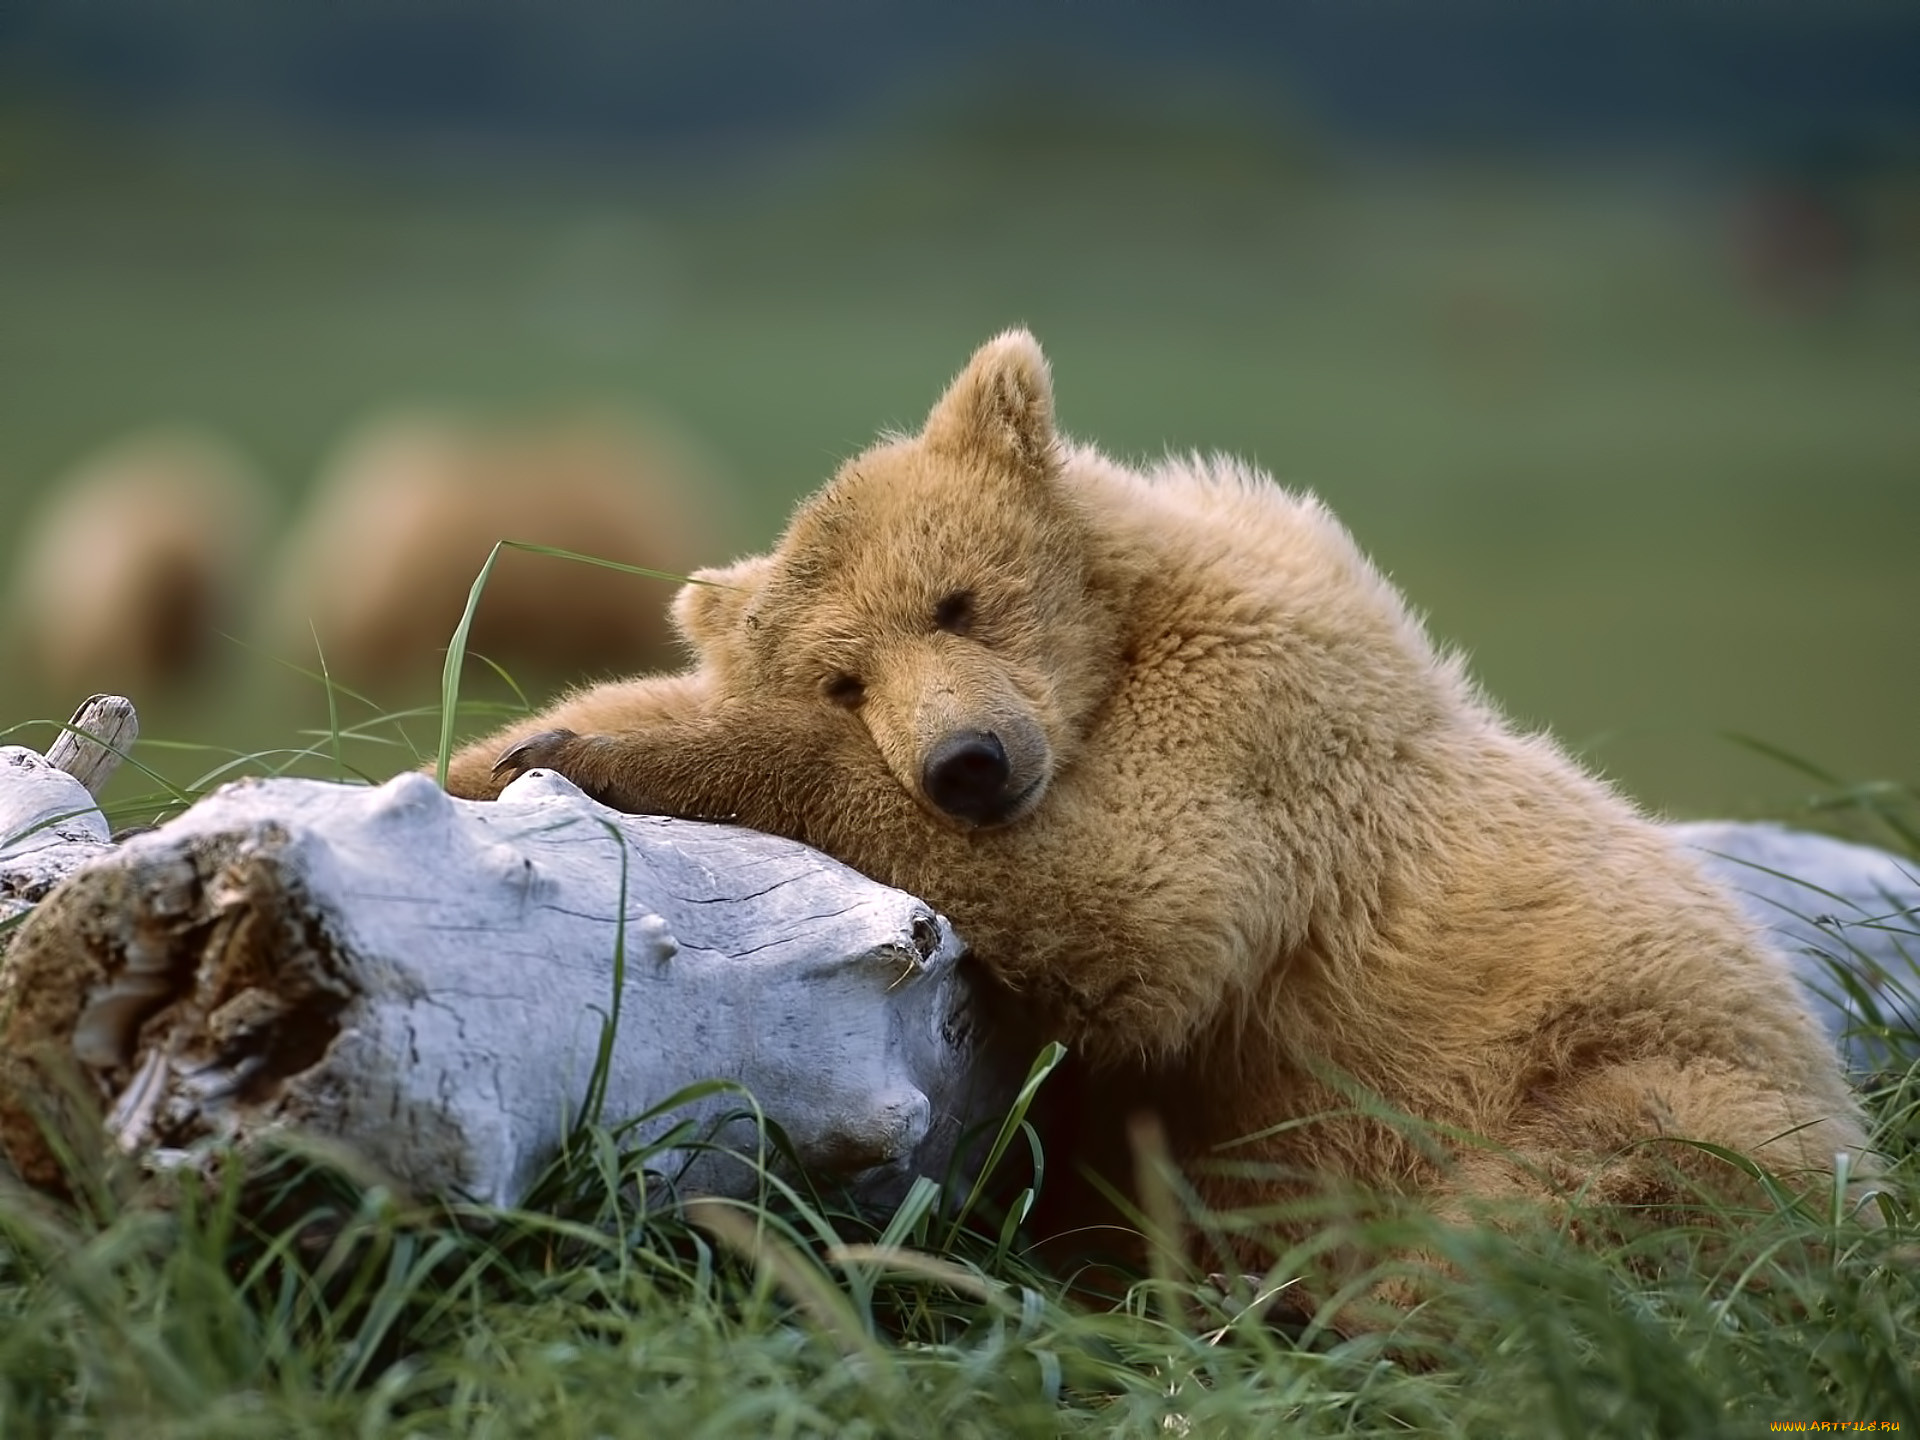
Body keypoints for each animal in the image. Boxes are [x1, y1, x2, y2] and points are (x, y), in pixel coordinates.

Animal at [441, 336, 1866, 1282]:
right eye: (846, 677)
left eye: (958, 600)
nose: (967, 763)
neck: (1120, 644)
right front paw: (505, 747)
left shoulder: (1257, 724)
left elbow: (1132, 904)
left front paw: (608, 756)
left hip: (1651, 1074)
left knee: (1578, 1207)